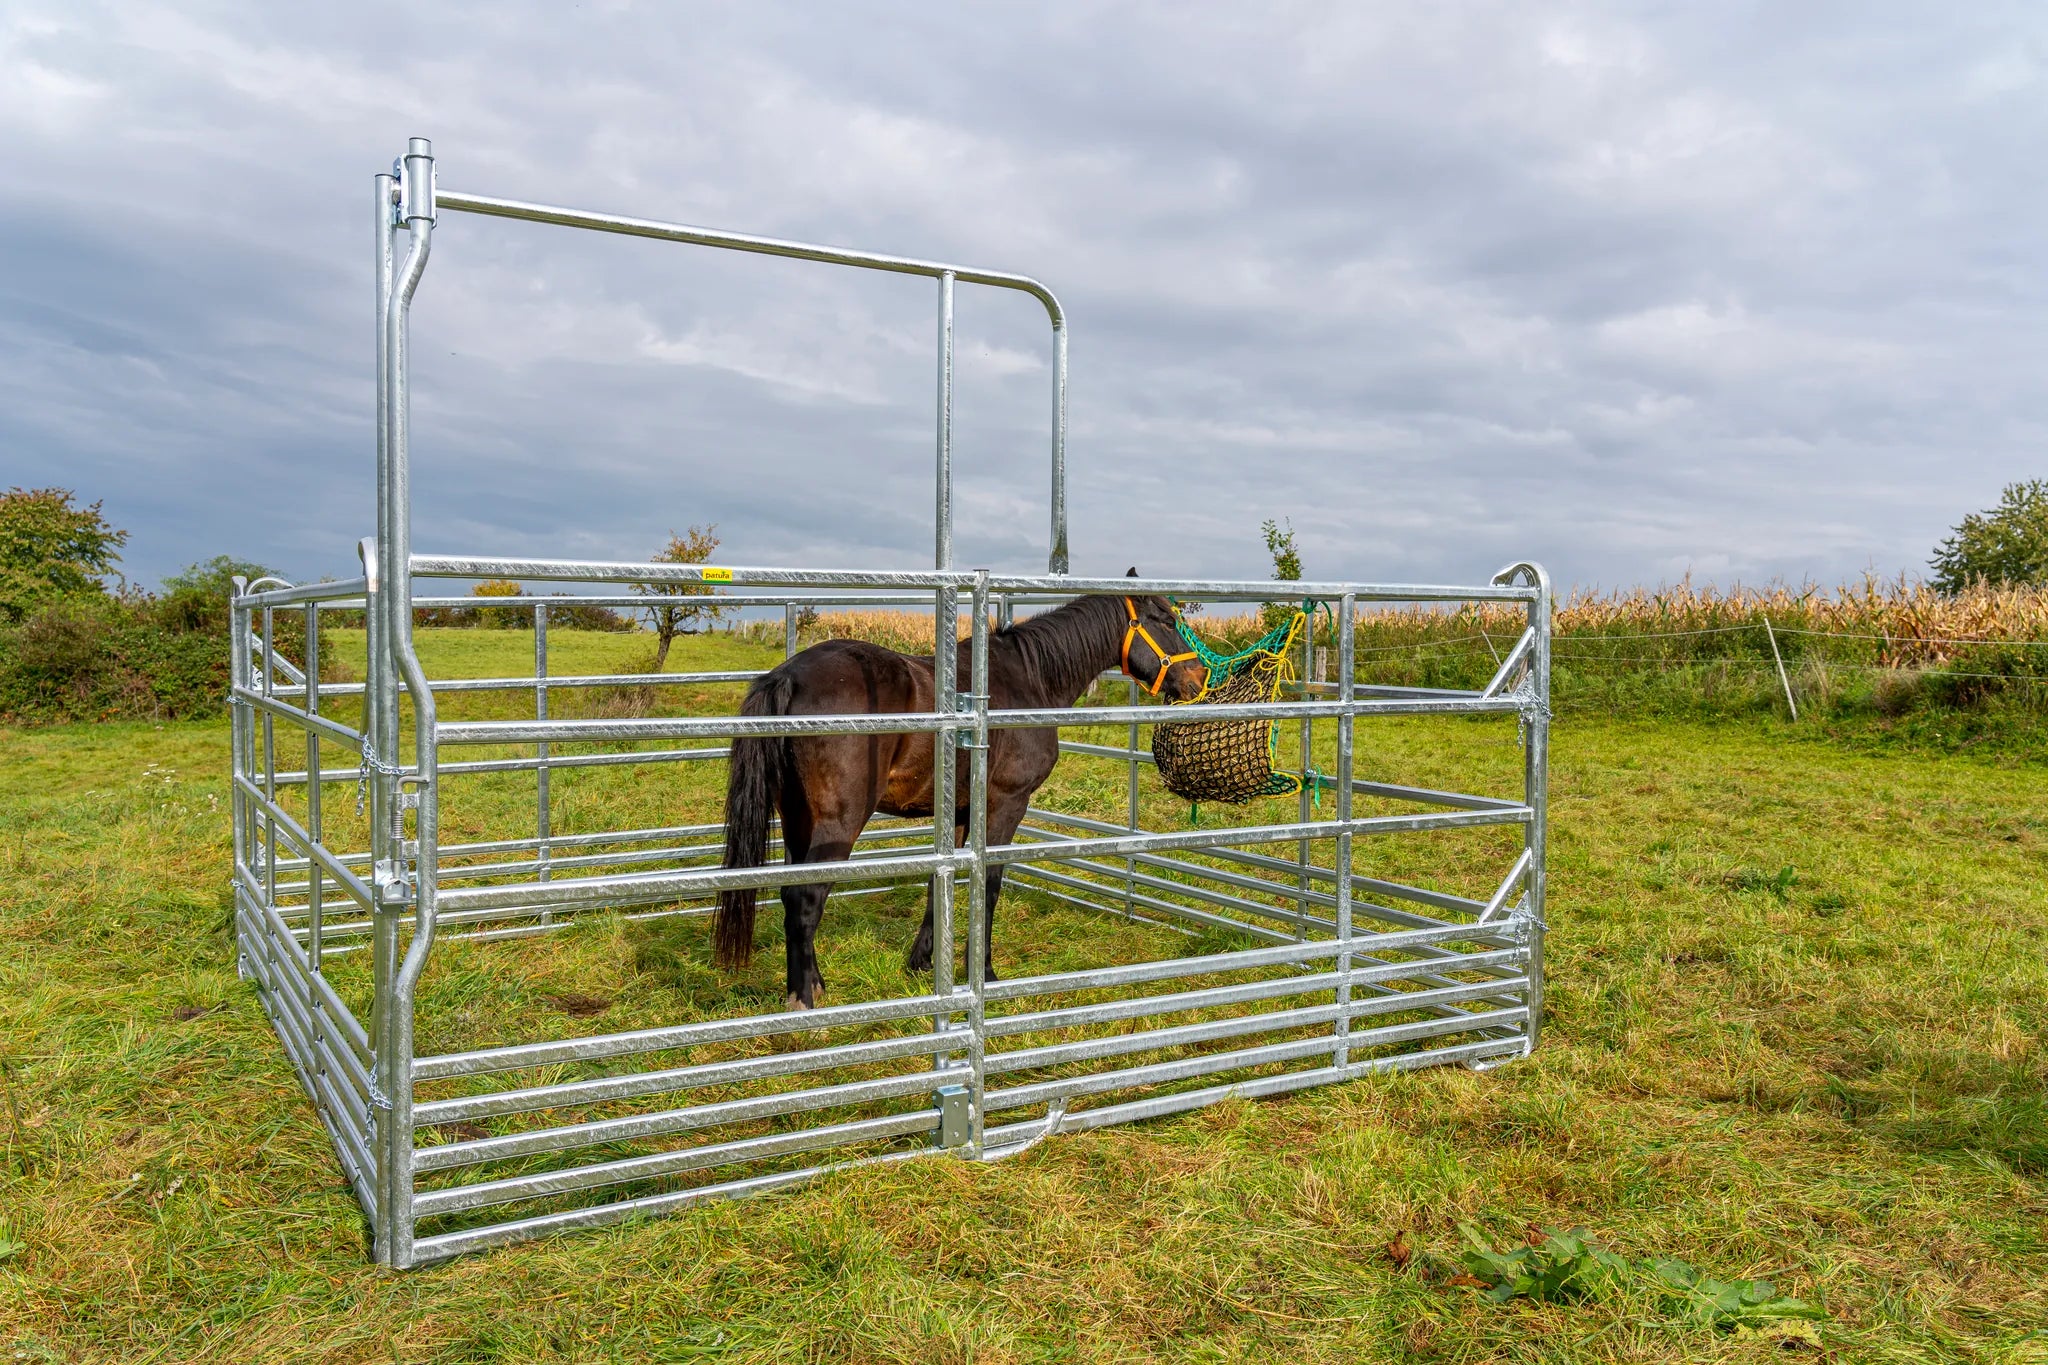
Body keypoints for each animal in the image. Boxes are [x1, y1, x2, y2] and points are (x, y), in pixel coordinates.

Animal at [711, 572, 1208, 1009]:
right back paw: (804, 1002)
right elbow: (988, 884)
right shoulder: (1006, 805)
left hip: (798, 818)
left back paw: (814, 984)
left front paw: (922, 962)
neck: (1030, 678)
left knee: (791, 895)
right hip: (837, 823)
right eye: (1166, 621)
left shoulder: (959, 811)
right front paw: (983, 973)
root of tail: (788, 676)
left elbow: (941, 884)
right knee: (806, 899)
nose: (1198, 680)